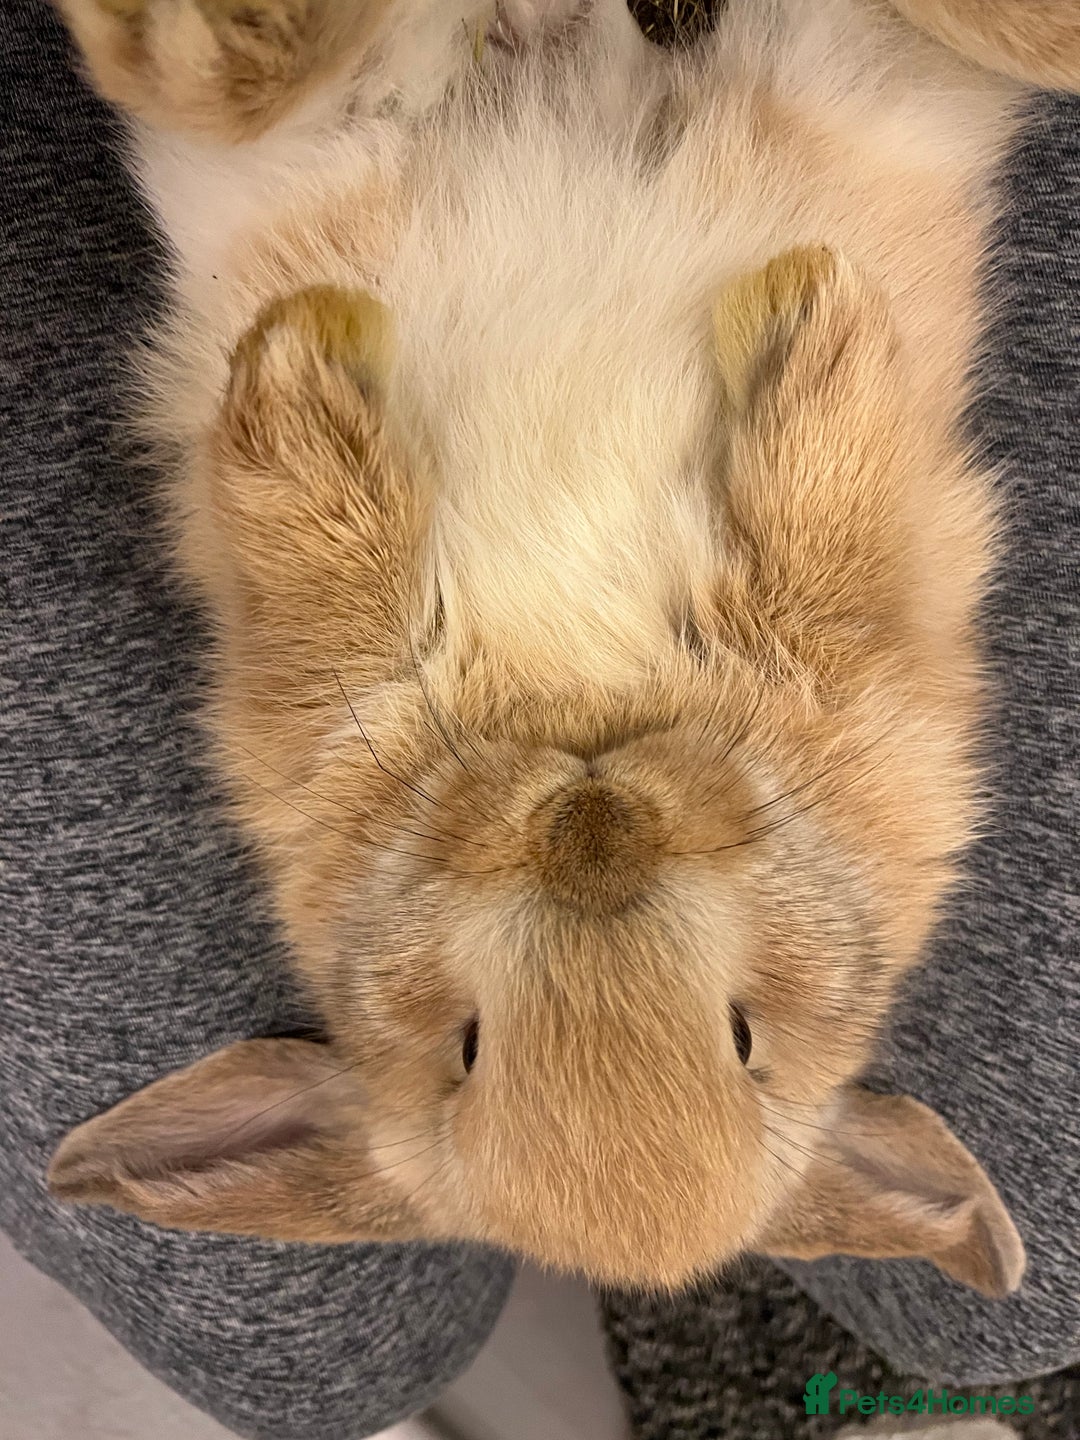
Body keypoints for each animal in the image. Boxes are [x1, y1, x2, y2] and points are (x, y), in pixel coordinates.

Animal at [44, 0, 1080, 1294]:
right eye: (468, 1046)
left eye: (745, 1038)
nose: (596, 837)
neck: (586, 710)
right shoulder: (319, 684)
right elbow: (318, 543)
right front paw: (299, 370)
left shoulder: (867, 655)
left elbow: (821, 526)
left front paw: (813, 311)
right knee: (218, 85)